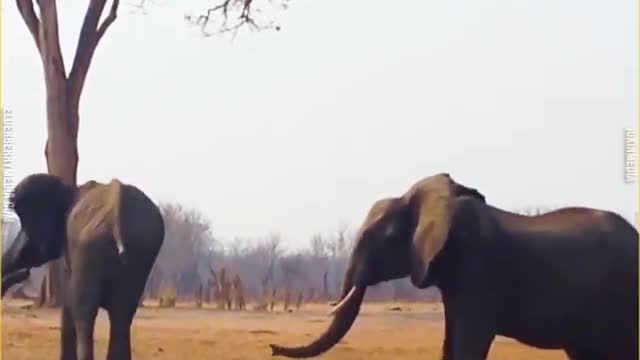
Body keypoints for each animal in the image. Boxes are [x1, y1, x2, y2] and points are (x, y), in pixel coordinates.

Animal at [1, 174, 165, 360]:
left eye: (27, 228)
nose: (25, 273)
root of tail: (117, 215)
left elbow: (69, 300)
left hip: (89, 246)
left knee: (85, 313)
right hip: (141, 249)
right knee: (122, 314)